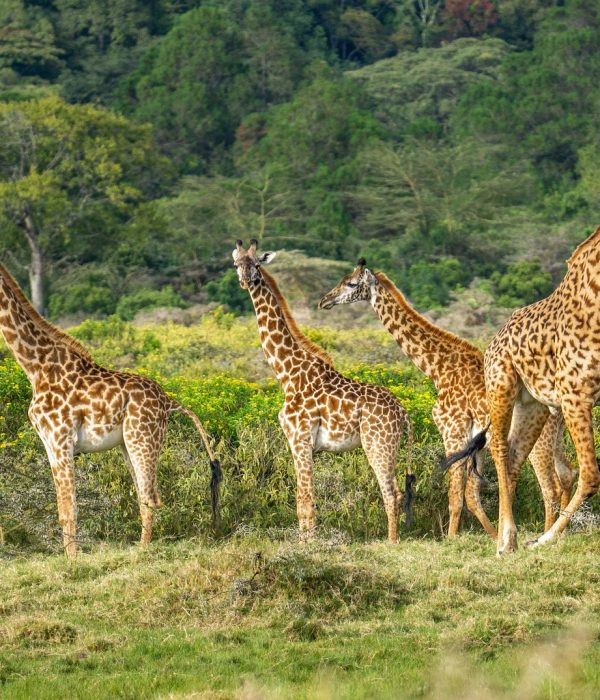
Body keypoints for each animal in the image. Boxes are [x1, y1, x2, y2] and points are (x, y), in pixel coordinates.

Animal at [0, 262, 221, 557]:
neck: (37, 367)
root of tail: (169, 401)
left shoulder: (61, 439)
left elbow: (68, 509)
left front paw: (73, 560)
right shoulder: (49, 443)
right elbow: (62, 508)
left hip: (142, 438)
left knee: (150, 498)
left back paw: (141, 554)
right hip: (128, 443)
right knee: (144, 496)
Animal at [232, 240, 414, 542]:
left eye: (257, 264)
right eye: (237, 263)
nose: (246, 280)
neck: (287, 373)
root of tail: (403, 412)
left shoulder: (300, 438)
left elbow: (305, 498)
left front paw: (308, 543)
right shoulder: (298, 442)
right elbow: (303, 498)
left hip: (378, 444)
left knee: (392, 493)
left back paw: (392, 542)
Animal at [319, 260, 576, 538]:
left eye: (351, 283)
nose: (325, 300)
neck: (437, 368)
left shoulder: (452, 432)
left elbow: (456, 497)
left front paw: (453, 538)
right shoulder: (474, 441)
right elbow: (471, 496)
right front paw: (493, 536)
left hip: (539, 440)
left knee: (550, 488)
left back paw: (547, 535)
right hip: (555, 436)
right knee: (567, 474)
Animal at [480, 225, 600, 554]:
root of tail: (492, 343)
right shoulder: (575, 396)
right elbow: (591, 474)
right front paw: (545, 538)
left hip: (532, 405)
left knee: (514, 456)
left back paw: (509, 539)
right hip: (501, 387)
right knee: (499, 447)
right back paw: (506, 539)